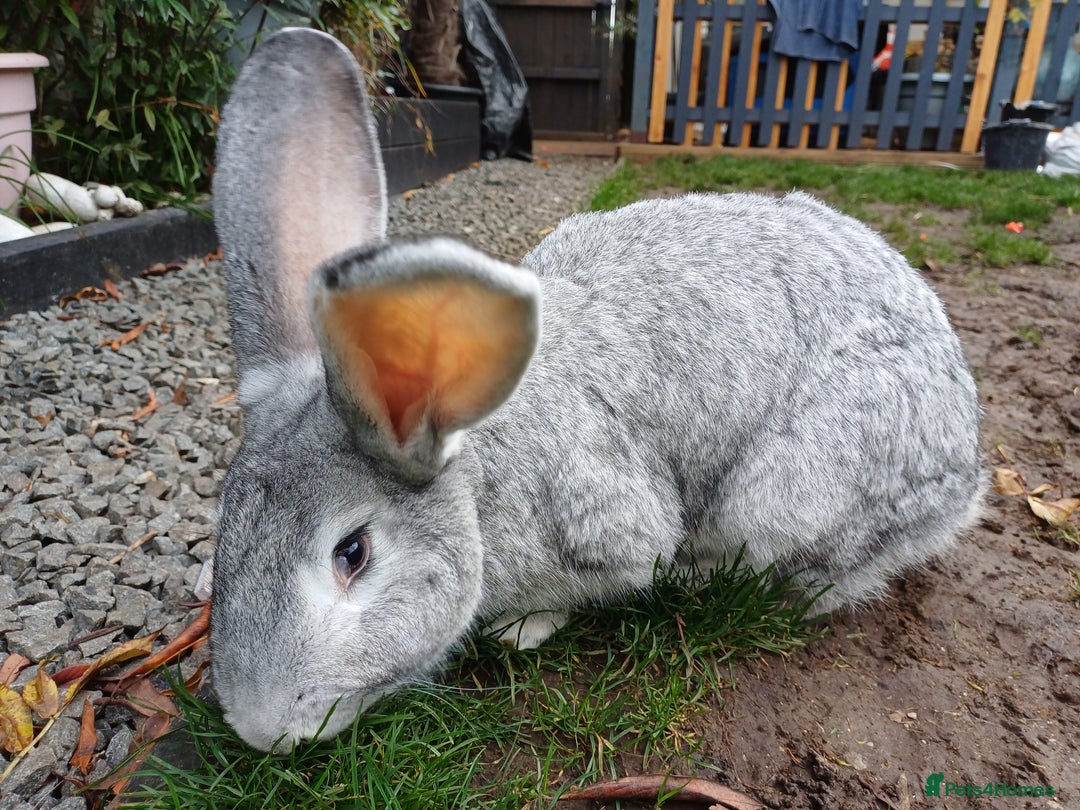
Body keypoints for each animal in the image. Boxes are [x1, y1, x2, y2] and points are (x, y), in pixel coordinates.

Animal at [209, 27, 983, 752]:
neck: (477, 474)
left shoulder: (605, 524)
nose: (259, 729)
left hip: (791, 492)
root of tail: (965, 478)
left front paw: (520, 629)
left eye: (353, 553)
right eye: (225, 529)